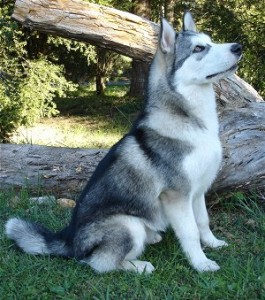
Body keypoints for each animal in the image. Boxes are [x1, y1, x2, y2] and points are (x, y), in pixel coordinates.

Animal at [5, 11, 242, 274]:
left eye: (210, 41)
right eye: (199, 48)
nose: (238, 47)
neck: (194, 120)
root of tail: (69, 240)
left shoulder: (198, 189)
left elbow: (202, 221)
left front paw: (213, 243)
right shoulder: (177, 195)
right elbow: (190, 232)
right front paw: (201, 263)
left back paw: (153, 237)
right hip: (127, 225)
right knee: (99, 263)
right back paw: (140, 265)